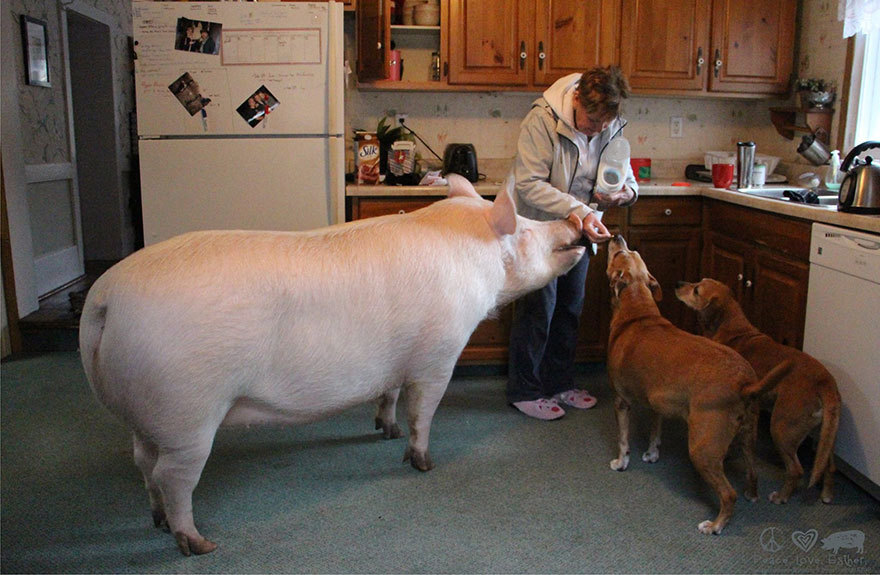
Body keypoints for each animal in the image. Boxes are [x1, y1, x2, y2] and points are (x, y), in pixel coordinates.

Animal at [79, 174, 585, 555]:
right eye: (523, 228)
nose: (576, 226)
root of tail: (104, 299)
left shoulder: (394, 362)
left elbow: (390, 394)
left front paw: (386, 431)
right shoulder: (439, 354)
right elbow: (423, 410)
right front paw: (422, 462)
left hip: (146, 412)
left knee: (143, 462)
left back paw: (159, 521)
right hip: (188, 410)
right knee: (172, 476)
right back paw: (198, 544)